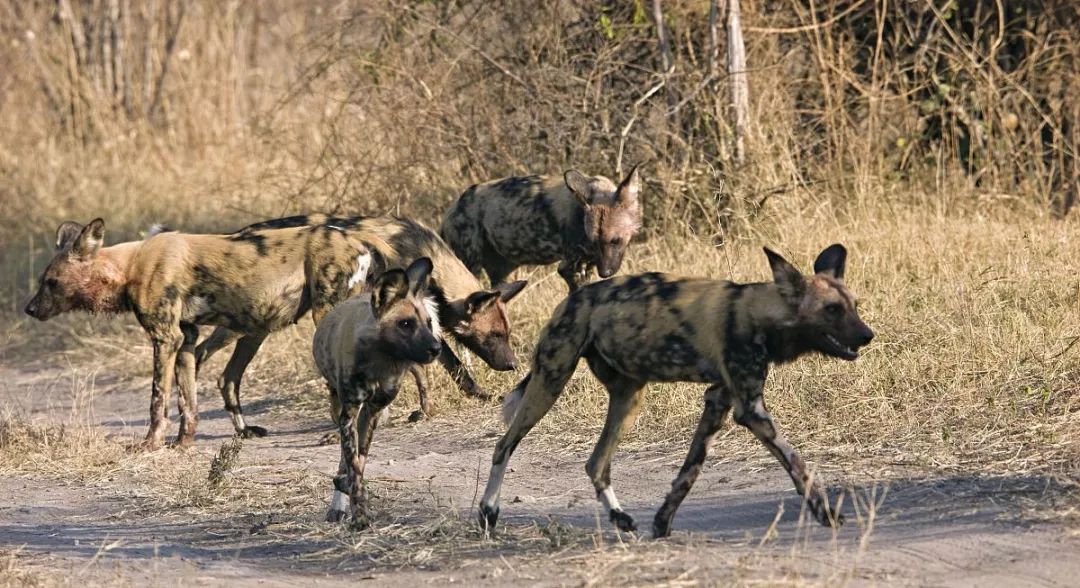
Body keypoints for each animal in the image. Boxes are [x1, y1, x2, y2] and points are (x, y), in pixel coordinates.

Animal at [25, 218, 380, 447]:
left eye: (51, 282)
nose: (29, 309)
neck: (128, 266)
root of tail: (359, 242)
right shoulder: (185, 340)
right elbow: (188, 403)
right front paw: (182, 444)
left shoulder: (165, 339)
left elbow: (158, 399)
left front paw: (149, 444)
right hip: (256, 328)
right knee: (229, 379)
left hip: (320, 317)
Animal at [195, 214, 531, 425]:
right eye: (494, 336)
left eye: (507, 333)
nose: (512, 364)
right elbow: (447, 365)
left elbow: (443, 366)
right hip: (253, 324)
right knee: (201, 355)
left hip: (256, 329)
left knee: (223, 372)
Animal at [308, 259, 438, 525]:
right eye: (406, 324)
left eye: (429, 323)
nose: (436, 348)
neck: (381, 361)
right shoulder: (349, 414)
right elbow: (354, 466)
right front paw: (359, 515)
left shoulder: (372, 412)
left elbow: (359, 461)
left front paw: (353, 497)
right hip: (339, 408)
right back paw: (338, 504)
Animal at [438, 163, 639, 291]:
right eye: (596, 242)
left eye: (615, 241)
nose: (605, 273)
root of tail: (452, 209)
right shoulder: (569, 267)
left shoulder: (588, 264)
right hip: (471, 266)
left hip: (501, 275)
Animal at [481, 243, 876, 538]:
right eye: (831, 309)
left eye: (854, 306)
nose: (867, 335)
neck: (760, 314)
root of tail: (573, 299)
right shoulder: (750, 410)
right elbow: (797, 463)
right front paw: (825, 513)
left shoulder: (718, 400)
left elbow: (689, 472)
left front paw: (662, 522)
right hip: (551, 380)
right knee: (504, 445)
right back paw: (488, 513)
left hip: (629, 397)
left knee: (596, 464)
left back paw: (621, 519)